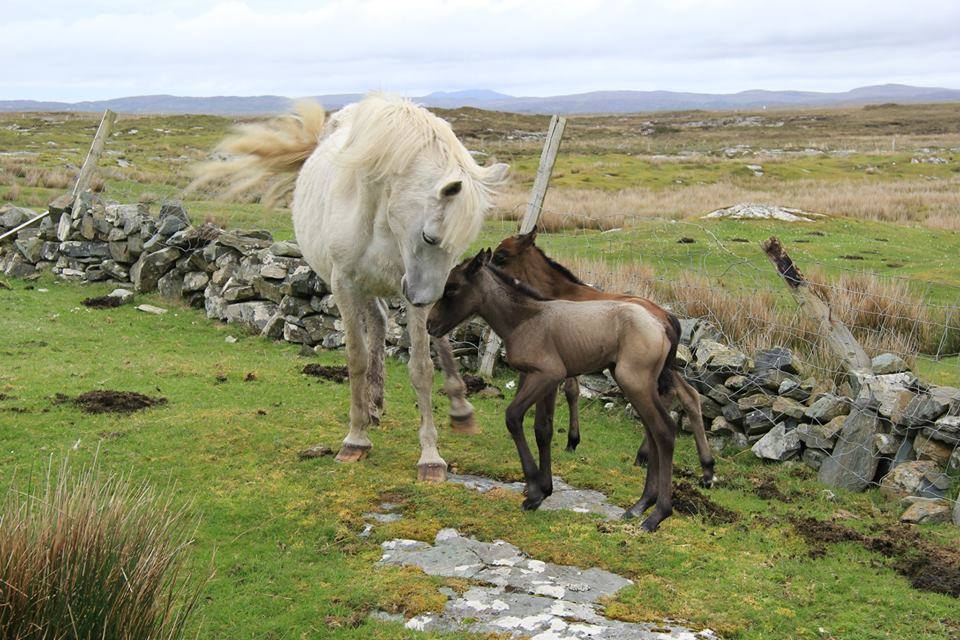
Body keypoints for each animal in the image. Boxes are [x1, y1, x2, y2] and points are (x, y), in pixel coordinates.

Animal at [196, 95, 510, 480]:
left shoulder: (413, 289)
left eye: (460, 246)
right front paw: (355, 439)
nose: (427, 299)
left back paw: (457, 406)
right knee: (377, 321)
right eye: (429, 237)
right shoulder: (345, 283)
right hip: (370, 286)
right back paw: (373, 405)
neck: (382, 209)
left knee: (411, 330)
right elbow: (356, 359)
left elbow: (422, 367)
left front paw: (430, 457)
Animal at [428, 250, 684, 536]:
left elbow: (513, 417)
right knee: (652, 431)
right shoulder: (545, 380)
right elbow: (543, 430)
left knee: (664, 429)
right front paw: (544, 488)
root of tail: (662, 324)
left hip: (635, 381)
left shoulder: (546, 375)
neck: (524, 319)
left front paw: (534, 492)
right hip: (635, 382)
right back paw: (640, 505)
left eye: (452, 288)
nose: (430, 324)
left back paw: (657, 515)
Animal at [496, 230, 712, 484]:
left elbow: (571, 391)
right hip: (665, 367)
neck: (558, 293)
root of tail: (668, 318)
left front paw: (572, 440)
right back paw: (706, 467)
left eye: (501, 255)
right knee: (688, 395)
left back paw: (649, 454)